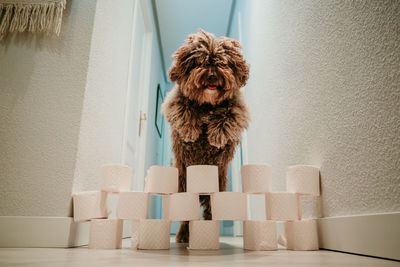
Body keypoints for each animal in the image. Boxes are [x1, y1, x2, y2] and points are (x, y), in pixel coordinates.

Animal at [160, 29, 248, 245]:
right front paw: (191, 131)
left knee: (209, 213)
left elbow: (228, 114)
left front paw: (216, 135)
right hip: (183, 190)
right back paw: (183, 235)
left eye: (223, 63)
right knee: (186, 217)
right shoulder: (174, 102)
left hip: (215, 192)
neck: (207, 104)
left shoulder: (238, 108)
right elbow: (183, 108)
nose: (212, 75)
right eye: (200, 62)